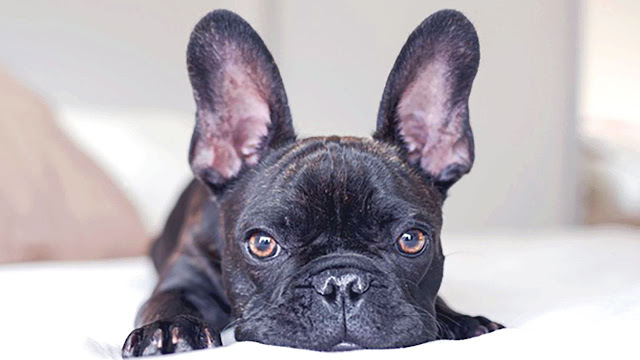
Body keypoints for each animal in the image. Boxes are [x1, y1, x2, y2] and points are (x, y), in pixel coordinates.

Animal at [122, 8, 502, 358]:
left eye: (411, 240)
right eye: (262, 244)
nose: (343, 284)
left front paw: (463, 321)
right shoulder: (186, 271)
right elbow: (169, 298)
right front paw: (170, 329)